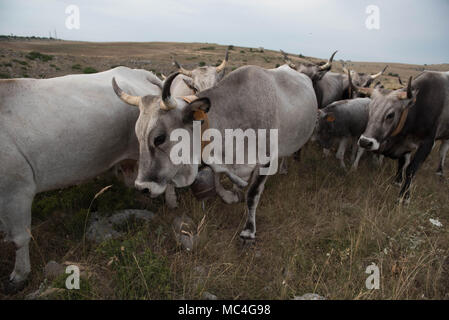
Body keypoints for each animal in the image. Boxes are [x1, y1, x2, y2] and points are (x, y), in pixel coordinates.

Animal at [111, 64, 316, 240]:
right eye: (137, 134)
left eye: (160, 138)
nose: (142, 187)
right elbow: (218, 178)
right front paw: (231, 195)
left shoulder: (265, 162)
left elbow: (252, 195)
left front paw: (249, 230)